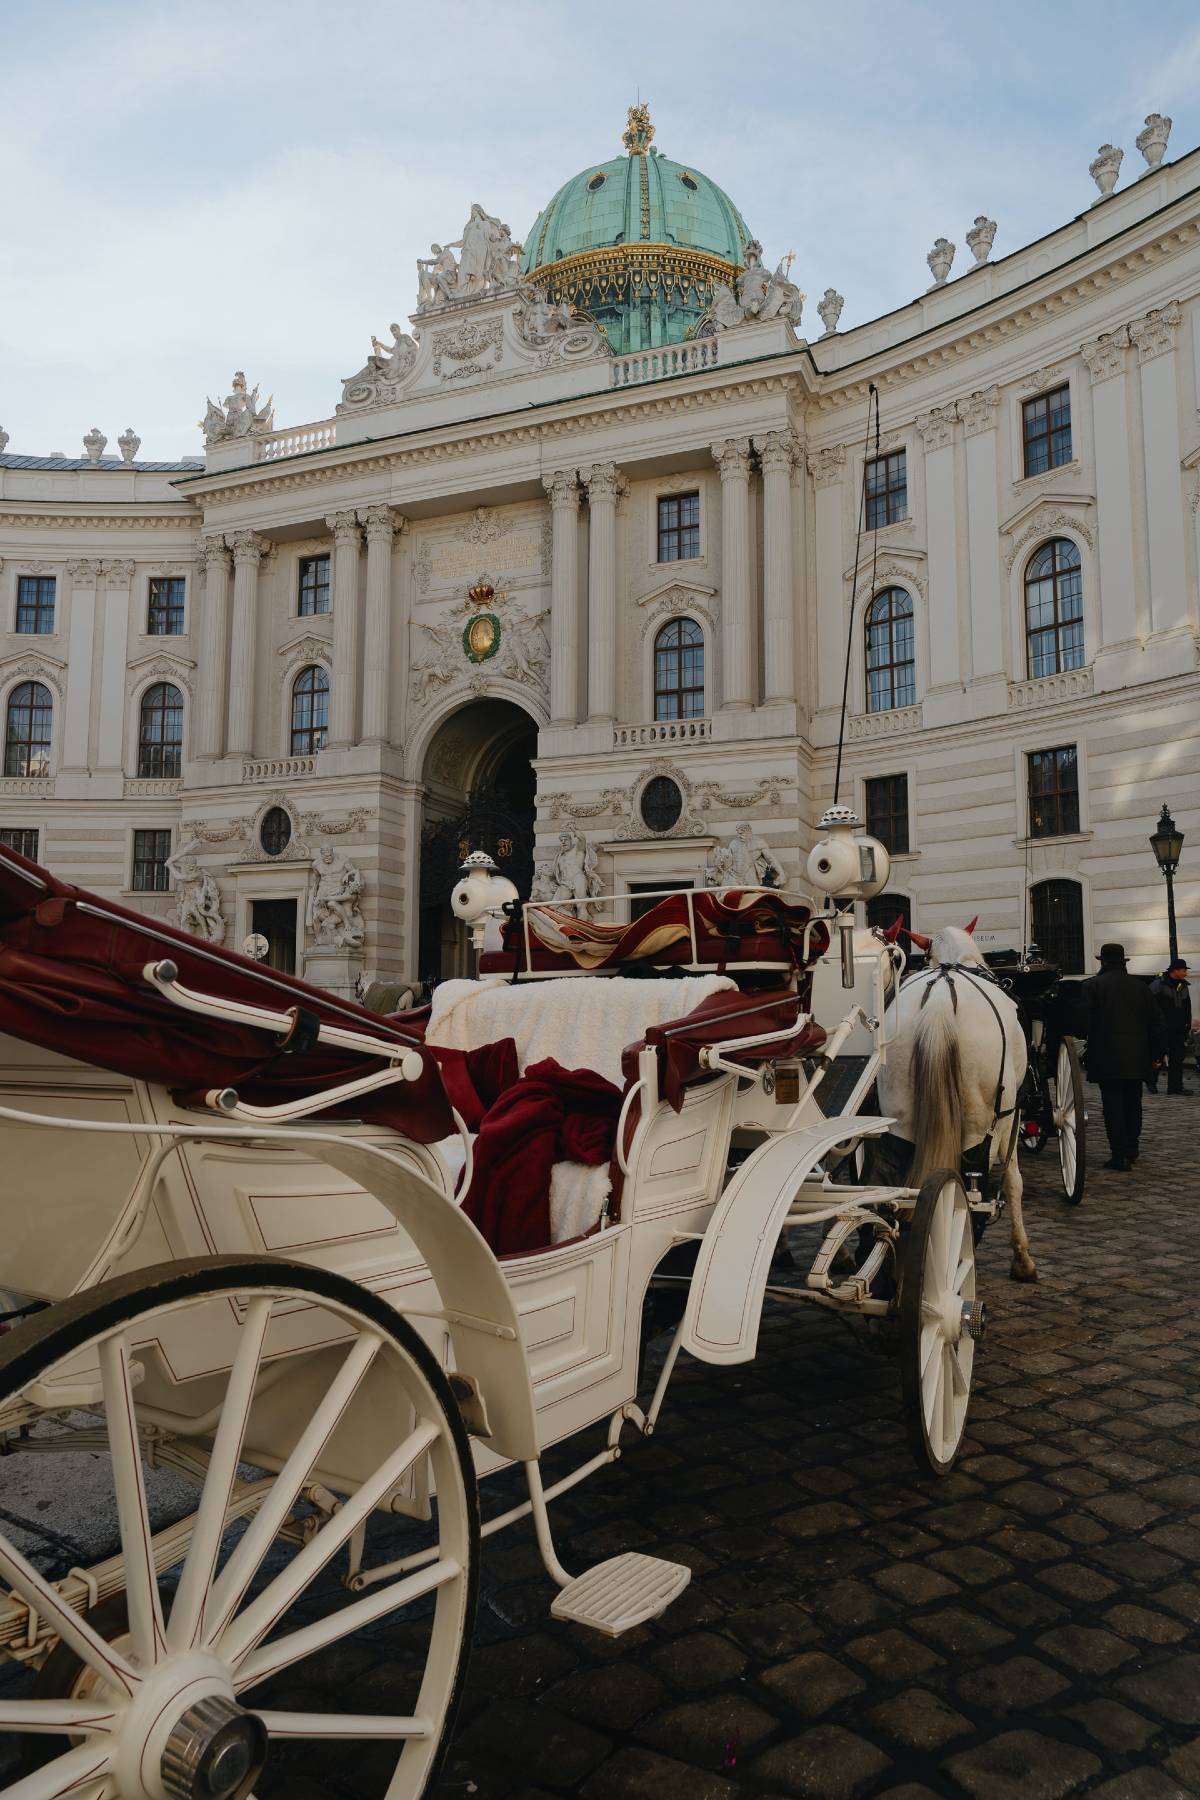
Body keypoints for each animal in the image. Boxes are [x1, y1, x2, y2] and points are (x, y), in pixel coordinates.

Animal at [877, 928, 1036, 1281]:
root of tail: (938, 1001)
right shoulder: (1011, 1117)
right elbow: (1013, 1181)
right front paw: (1022, 1260)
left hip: (898, 1121)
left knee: (888, 1192)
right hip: (980, 1126)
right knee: (973, 1195)